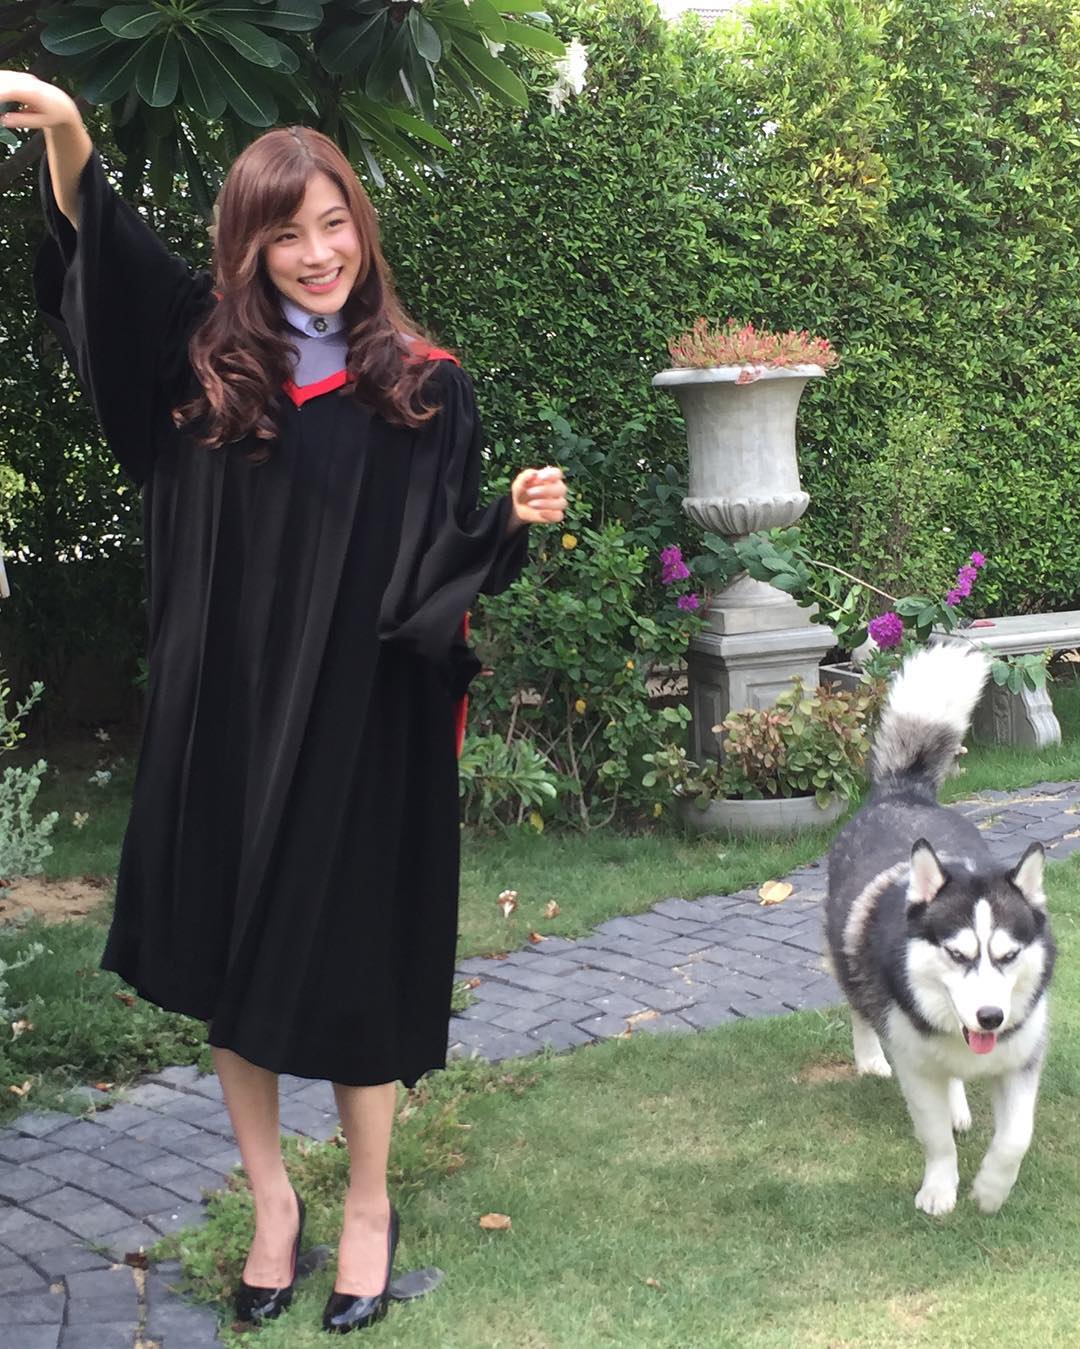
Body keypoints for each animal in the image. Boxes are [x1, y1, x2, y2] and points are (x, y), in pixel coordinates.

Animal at [825, 643, 1055, 1215]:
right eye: (957, 954)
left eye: (1007, 956)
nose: (992, 1017)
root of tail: (902, 793)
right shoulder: (916, 1068)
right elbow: (934, 1139)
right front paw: (939, 1189)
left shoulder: (1021, 1062)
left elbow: (1015, 1139)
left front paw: (991, 1190)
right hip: (848, 957)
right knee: (858, 1005)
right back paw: (869, 1057)